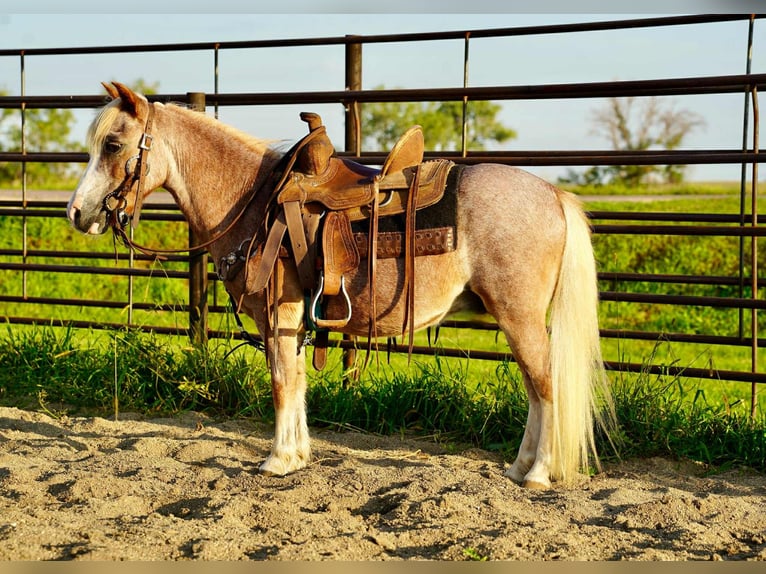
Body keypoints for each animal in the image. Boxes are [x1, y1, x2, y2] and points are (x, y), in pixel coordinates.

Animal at [67, 82, 615, 490]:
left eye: (113, 145)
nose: (76, 212)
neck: (252, 199)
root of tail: (553, 194)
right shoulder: (293, 321)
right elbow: (296, 381)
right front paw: (297, 454)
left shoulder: (278, 315)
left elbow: (282, 381)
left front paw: (278, 459)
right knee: (535, 390)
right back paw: (519, 467)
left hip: (520, 317)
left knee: (545, 386)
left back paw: (538, 473)